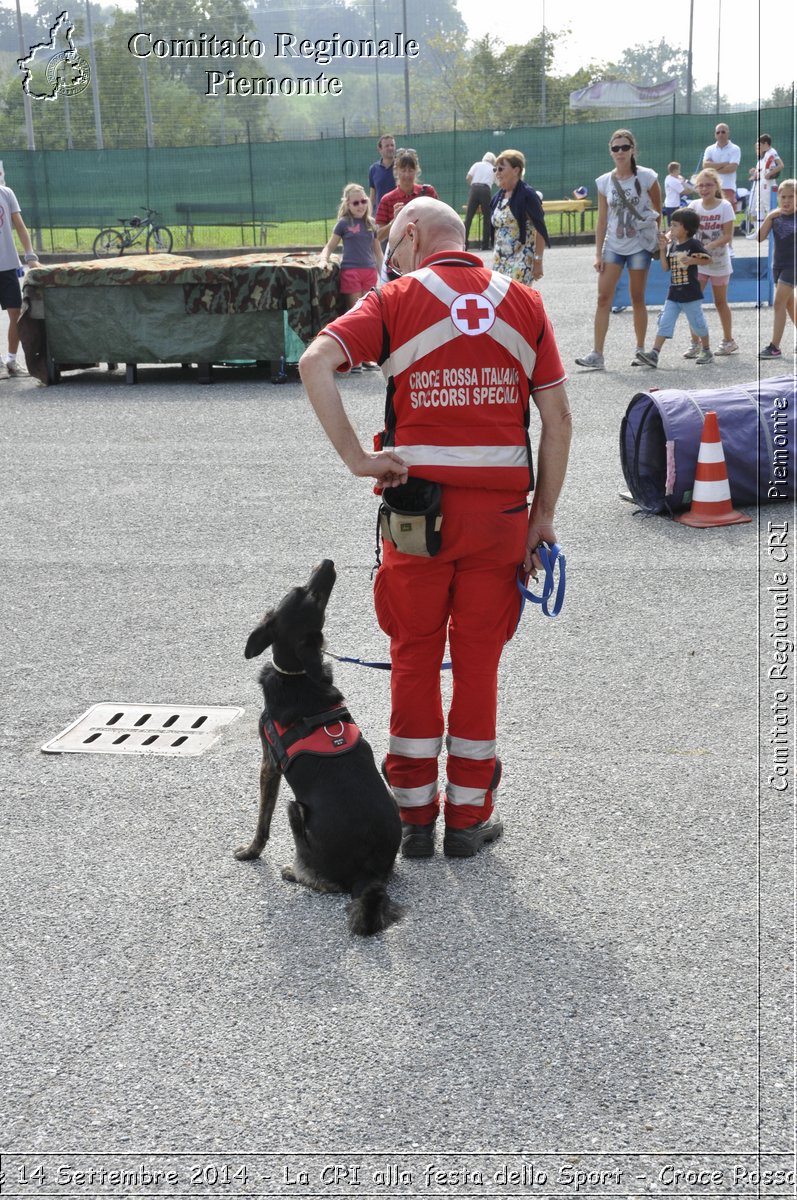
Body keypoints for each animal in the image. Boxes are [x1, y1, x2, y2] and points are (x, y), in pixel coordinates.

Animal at [234, 559, 400, 936]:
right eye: (306, 592)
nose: (328, 562)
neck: (296, 674)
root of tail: (368, 874)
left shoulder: (269, 764)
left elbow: (262, 821)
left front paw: (250, 851)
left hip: (295, 811)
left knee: (328, 883)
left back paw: (293, 872)